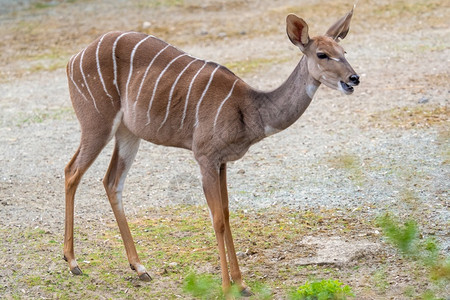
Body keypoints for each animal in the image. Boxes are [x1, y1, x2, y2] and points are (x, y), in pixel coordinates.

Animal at [63, 6, 358, 296]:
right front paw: (227, 287)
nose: (353, 78)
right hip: (97, 123)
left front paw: (242, 284)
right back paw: (73, 262)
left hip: (128, 133)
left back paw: (140, 268)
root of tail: (72, 60)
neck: (250, 109)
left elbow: (226, 213)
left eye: (344, 52)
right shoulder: (205, 158)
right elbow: (216, 219)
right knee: (72, 171)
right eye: (322, 54)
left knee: (111, 181)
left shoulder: (223, 162)